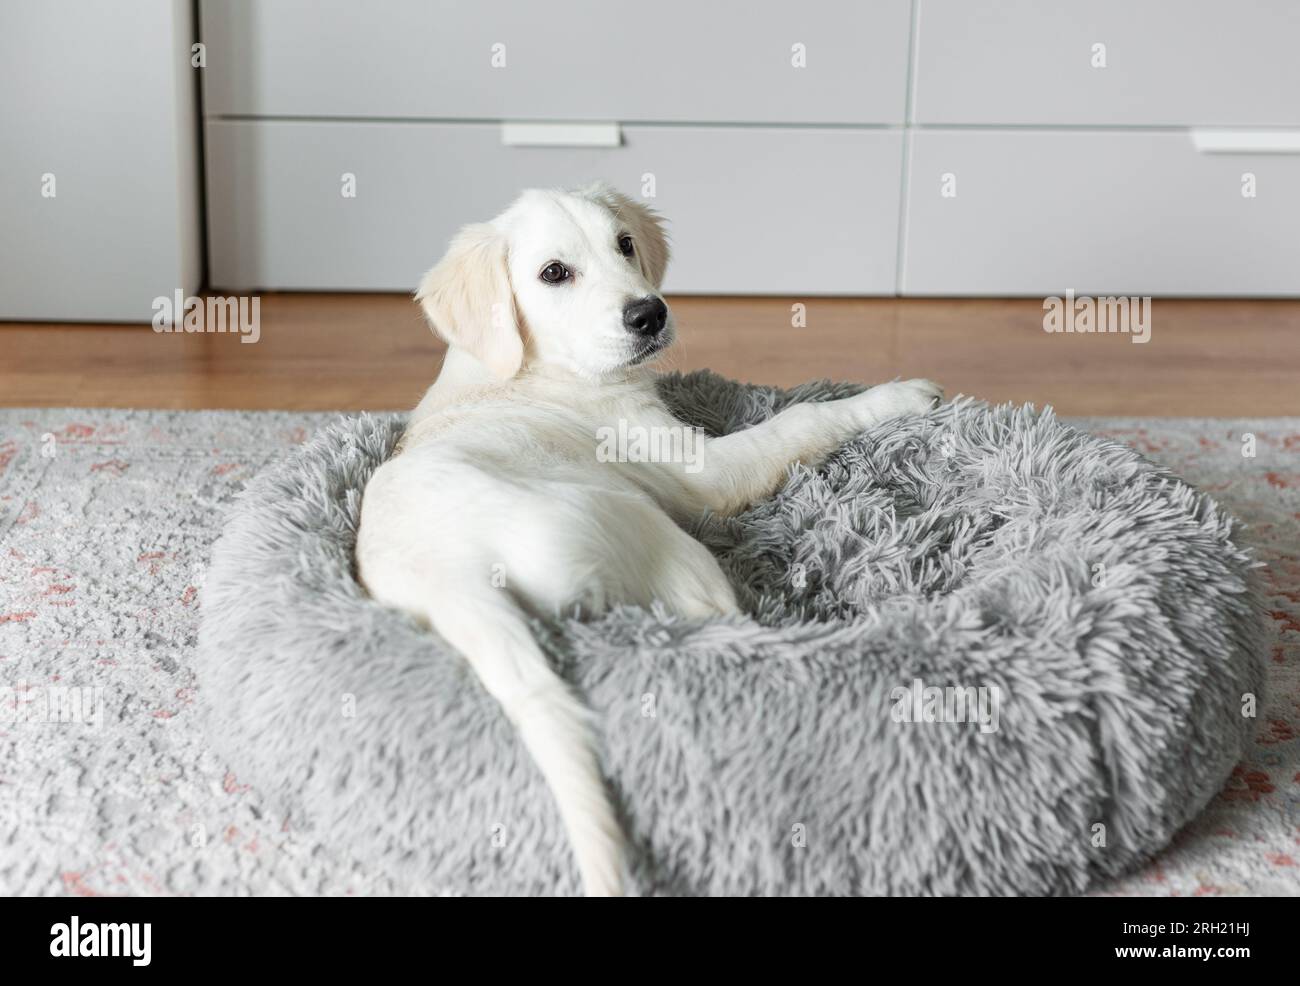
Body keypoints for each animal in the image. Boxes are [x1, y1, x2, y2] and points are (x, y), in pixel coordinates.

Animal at [356, 183, 946, 894]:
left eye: (625, 245)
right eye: (554, 273)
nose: (650, 313)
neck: (529, 368)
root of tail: (449, 580)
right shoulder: (698, 470)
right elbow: (798, 418)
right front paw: (896, 396)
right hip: (655, 534)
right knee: (722, 619)